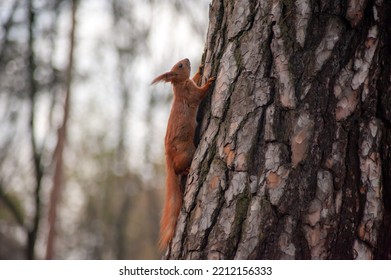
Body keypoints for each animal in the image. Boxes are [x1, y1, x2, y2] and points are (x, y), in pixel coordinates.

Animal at [151, 58, 217, 250]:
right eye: (180, 66)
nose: (187, 60)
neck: (179, 85)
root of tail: (168, 157)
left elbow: (195, 78)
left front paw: (200, 69)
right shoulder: (191, 94)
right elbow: (200, 93)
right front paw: (209, 81)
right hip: (188, 152)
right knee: (179, 169)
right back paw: (186, 170)